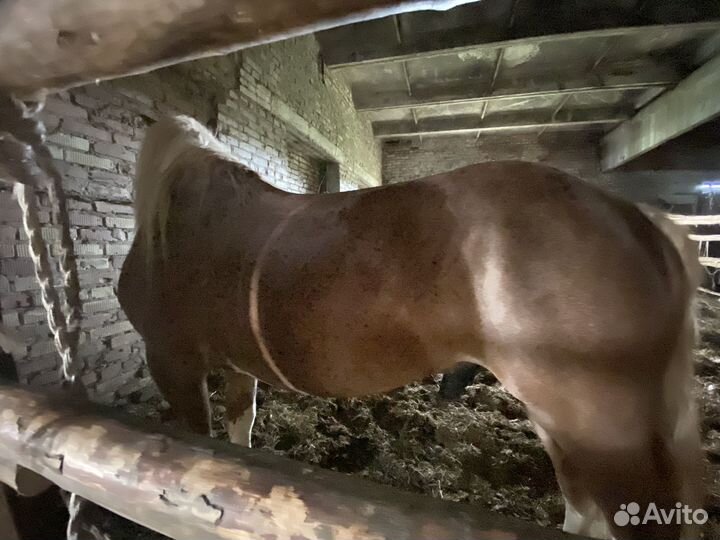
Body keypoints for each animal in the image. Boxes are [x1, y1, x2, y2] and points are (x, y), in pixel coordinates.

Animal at [118, 114, 704, 540]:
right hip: (561, 421)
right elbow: (238, 444)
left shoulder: (173, 363)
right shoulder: (237, 367)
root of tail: (636, 218)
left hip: (610, 436)